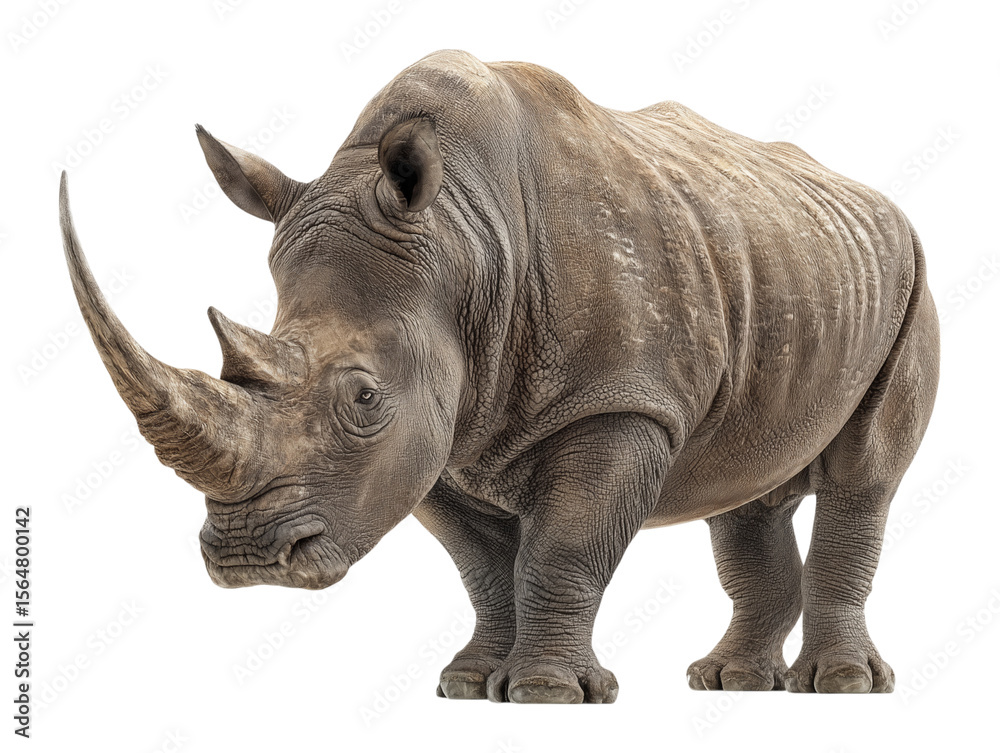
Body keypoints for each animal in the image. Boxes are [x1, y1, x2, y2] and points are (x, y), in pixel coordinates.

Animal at [60, 50, 939, 703]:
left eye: (364, 397)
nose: (246, 556)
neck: (462, 243)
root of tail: (881, 204)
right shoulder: (442, 426)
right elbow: (482, 565)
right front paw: (469, 681)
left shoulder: (617, 401)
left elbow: (564, 546)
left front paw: (548, 693)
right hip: (776, 257)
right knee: (747, 488)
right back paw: (728, 682)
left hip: (910, 279)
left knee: (863, 478)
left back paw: (843, 684)